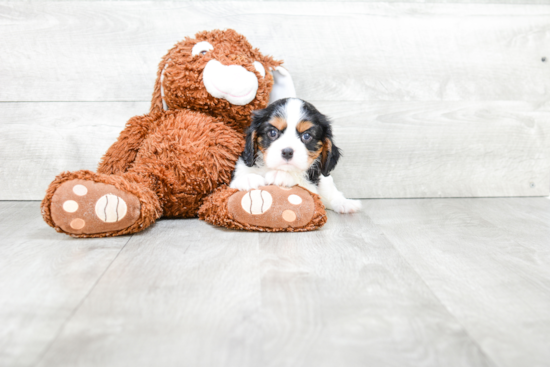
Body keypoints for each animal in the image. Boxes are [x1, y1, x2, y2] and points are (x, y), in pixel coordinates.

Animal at [230, 98, 362, 214]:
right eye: (272, 133)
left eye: (307, 136)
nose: (287, 152)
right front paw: (248, 179)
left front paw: (281, 175)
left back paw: (344, 203)